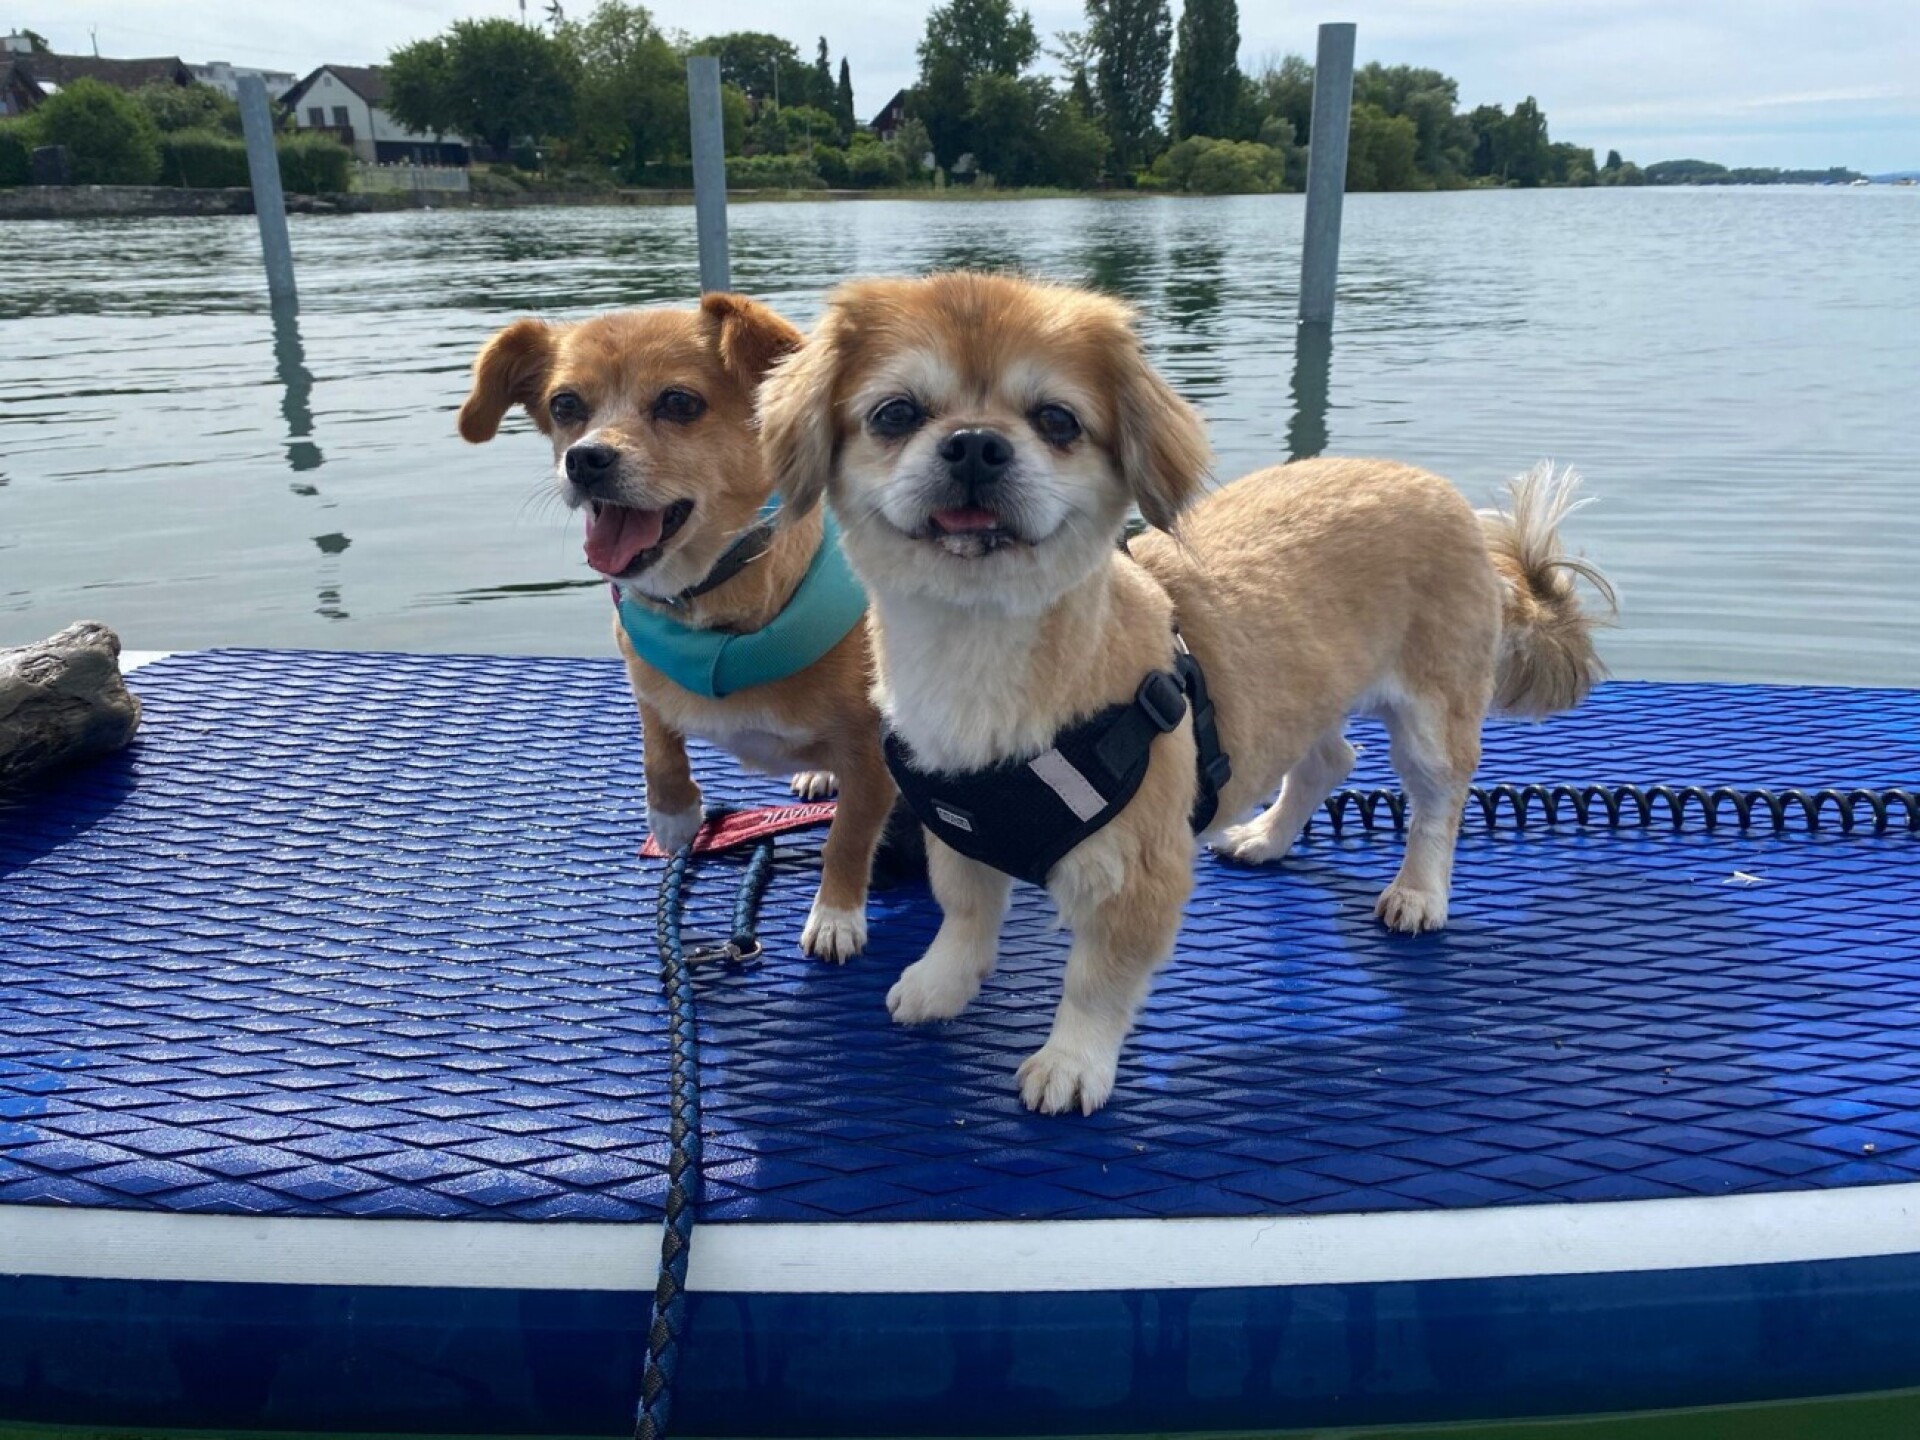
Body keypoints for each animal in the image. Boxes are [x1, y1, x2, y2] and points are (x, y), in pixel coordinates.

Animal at [460, 293, 894, 963]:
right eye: (565, 405)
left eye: (680, 403)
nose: (584, 459)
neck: (707, 605)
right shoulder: (641, 666)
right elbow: (656, 740)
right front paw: (674, 816)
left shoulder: (878, 757)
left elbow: (847, 836)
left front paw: (836, 916)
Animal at [756, 276, 1612, 1121]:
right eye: (895, 414)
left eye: (1057, 420)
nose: (973, 443)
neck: (979, 656)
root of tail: (1435, 488)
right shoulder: (961, 829)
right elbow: (966, 917)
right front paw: (941, 985)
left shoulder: (1139, 876)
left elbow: (1096, 982)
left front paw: (1072, 1064)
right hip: (1302, 696)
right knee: (1328, 759)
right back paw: (1266, 837)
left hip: (1432, 714)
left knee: (1439, 804)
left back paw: (1418, 892)